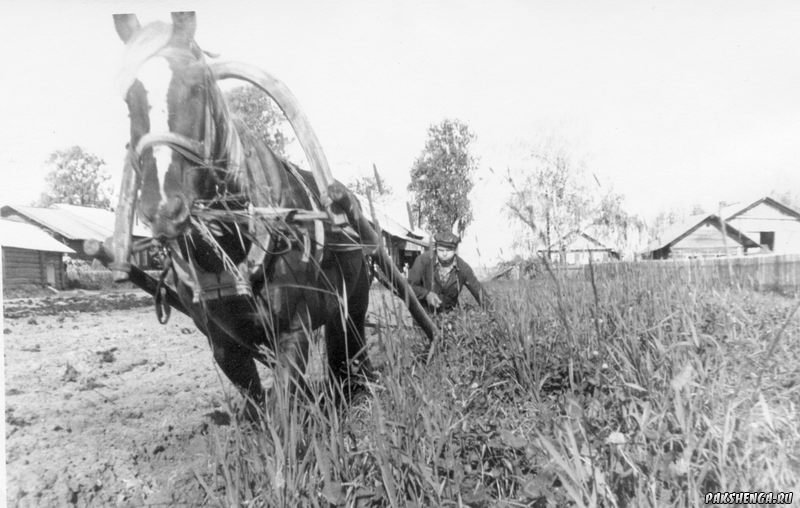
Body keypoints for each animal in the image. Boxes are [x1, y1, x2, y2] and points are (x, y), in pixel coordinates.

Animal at [104, 12, 432, 416]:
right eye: (129, 100)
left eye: (197, 88)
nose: (163, 208)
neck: (231, 246)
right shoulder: (225, 347)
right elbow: (260, 410)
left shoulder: (294, 329)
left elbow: (284, 411)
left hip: (353, 300)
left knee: (349, 349)